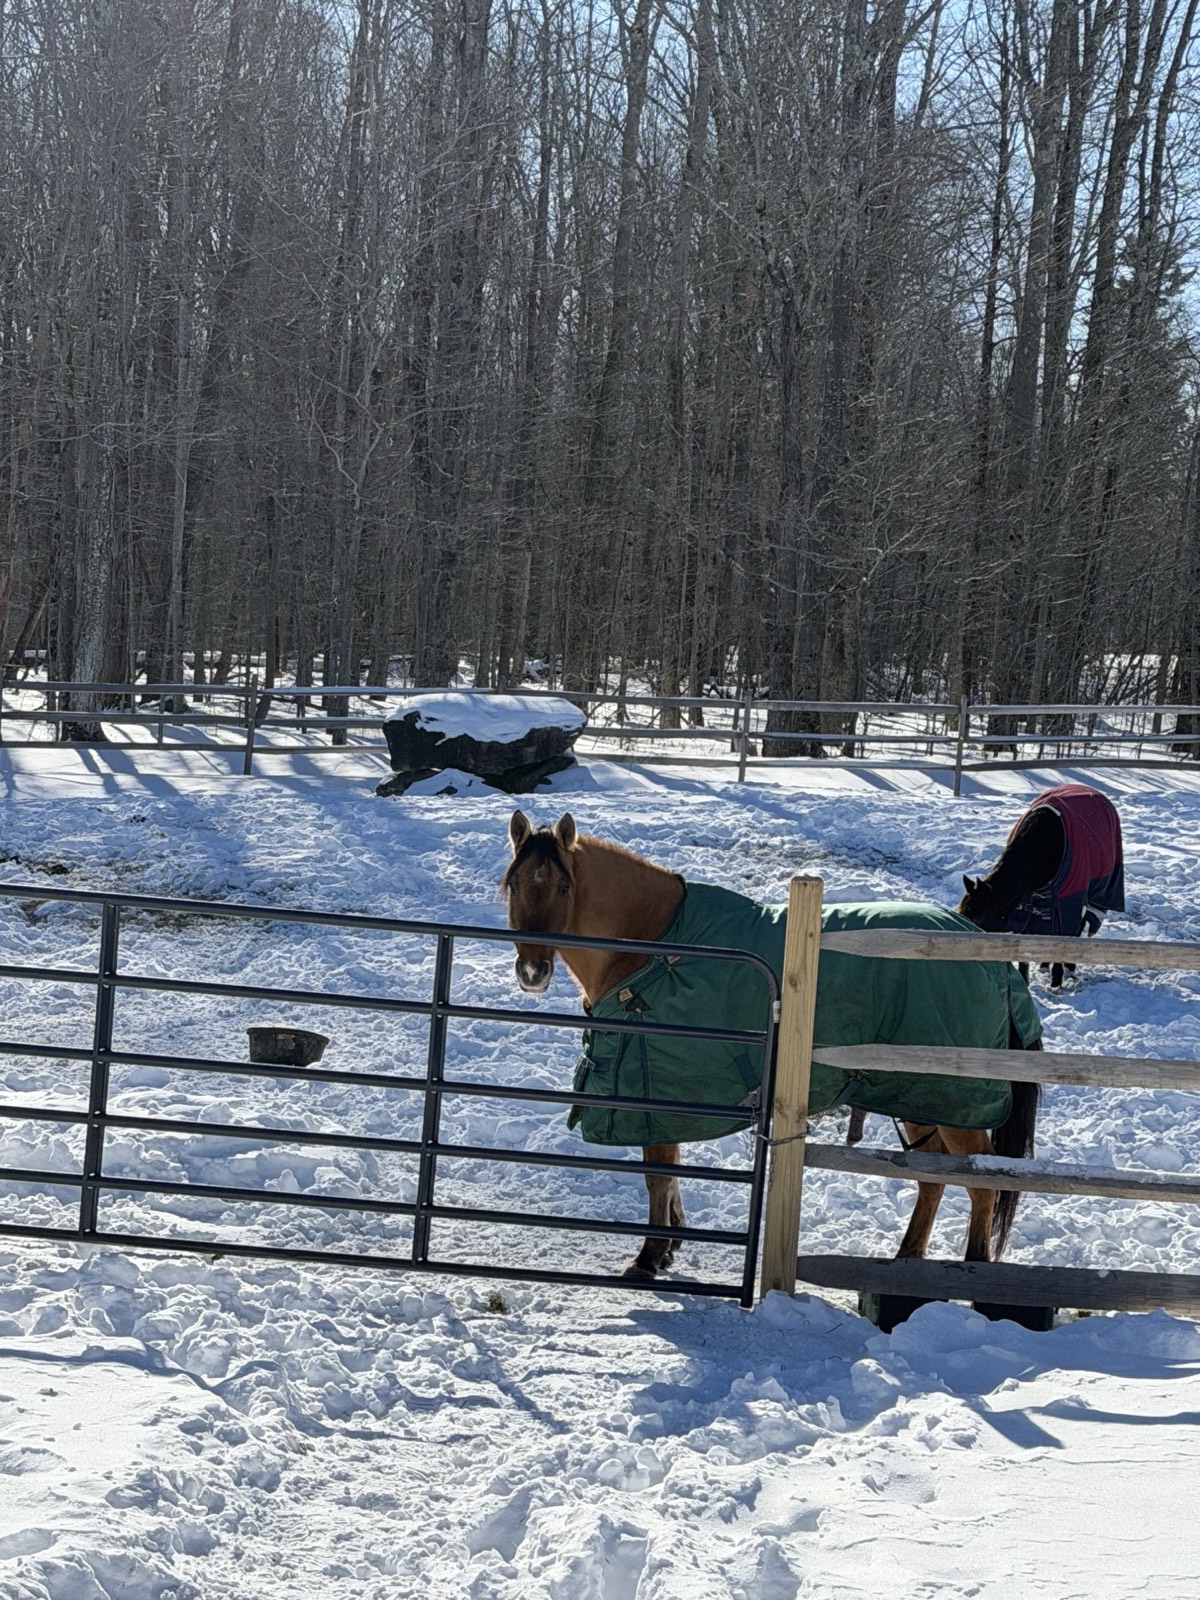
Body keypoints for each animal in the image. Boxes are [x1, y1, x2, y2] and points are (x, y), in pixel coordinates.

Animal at [503, 810, 1042, 1280]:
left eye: (564, 886)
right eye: (515, 884)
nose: (532, 971)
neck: (657, 948)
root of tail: (995, 963)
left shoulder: (654, 1092)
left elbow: (658, 1173)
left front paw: (650, 1256)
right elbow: (670, 1173)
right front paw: (671, 1245)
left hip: (952, 1102)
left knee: (982, 1185)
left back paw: (972, 1271)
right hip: (920, 1100)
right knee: (933, 1179)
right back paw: (905, 1260)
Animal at [959, 783, 1124, 989]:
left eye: (979, 918)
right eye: (961, 912)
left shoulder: (1069, 902)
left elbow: (1063, 940)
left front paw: (1056, 983)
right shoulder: (1027, 904)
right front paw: (1026, 979)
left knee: (1078, 929)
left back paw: (1069, 970)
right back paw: (1045, 965)